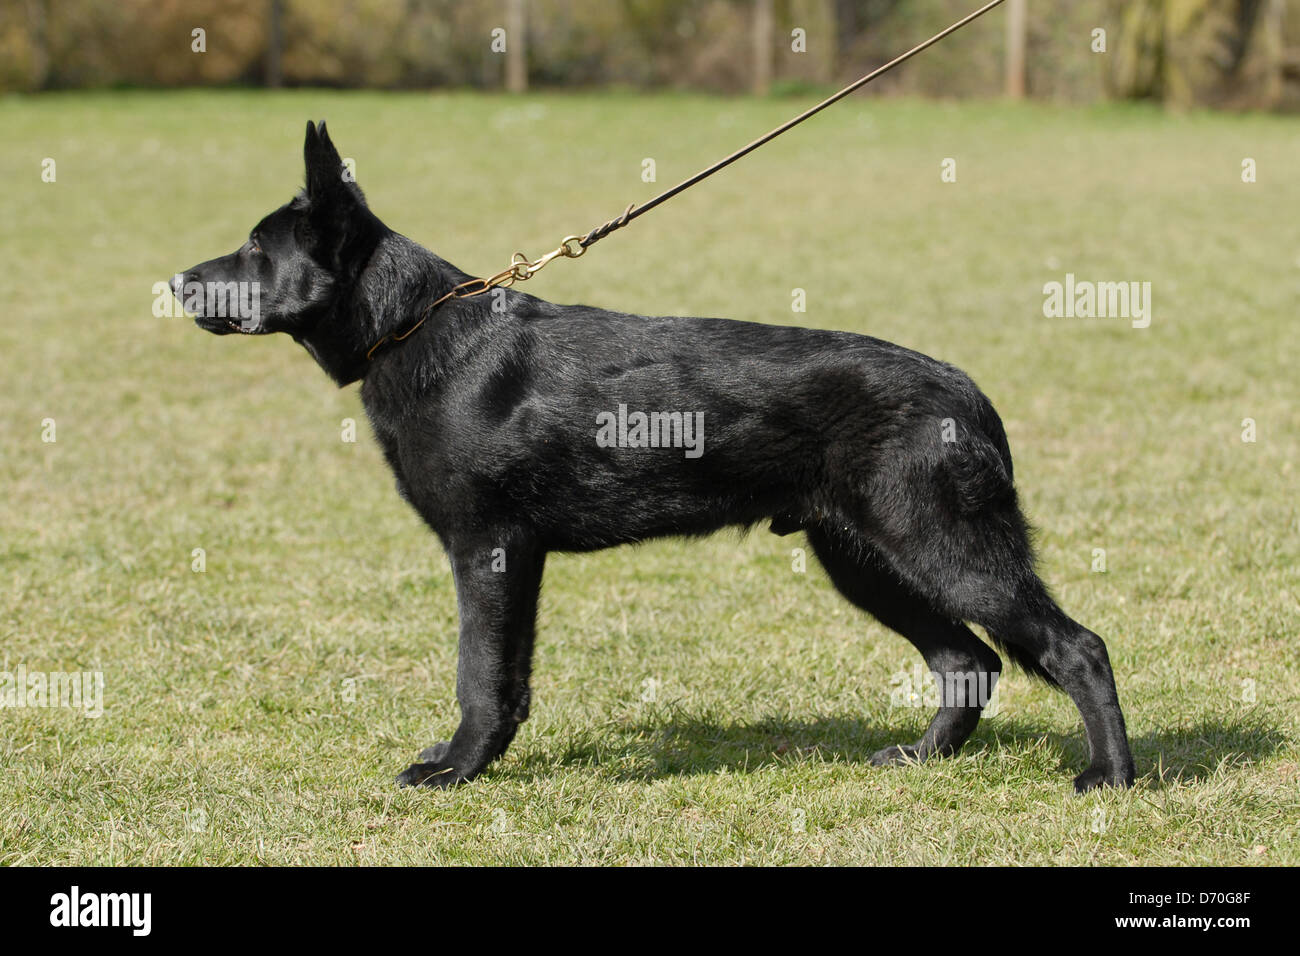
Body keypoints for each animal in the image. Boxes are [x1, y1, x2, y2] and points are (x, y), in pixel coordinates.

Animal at [172, 121, 1138, 790]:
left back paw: (1111, 778)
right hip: (866, 561)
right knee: (967, 663)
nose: (177, 281)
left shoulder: (492, 550)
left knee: (1077, 647)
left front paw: (458, 768)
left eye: (256, 248)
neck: (414, 328)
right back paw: (922, 758)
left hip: (946, 552)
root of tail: (966, 394)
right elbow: (505, 675)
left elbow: (482, 675)